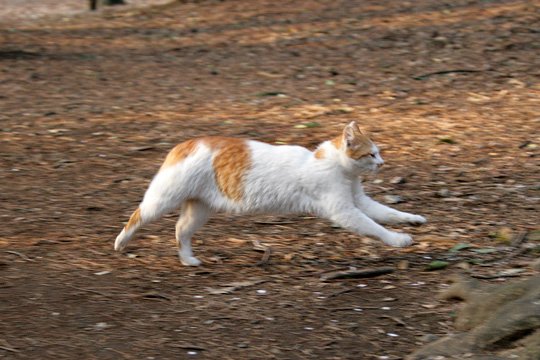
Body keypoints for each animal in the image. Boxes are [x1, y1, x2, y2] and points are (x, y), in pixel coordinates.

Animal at [114, 122, 426, 266]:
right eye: (372, 154)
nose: (383, 163)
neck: (336, 166)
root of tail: (185, 143)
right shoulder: (344, 211)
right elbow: (375, 227)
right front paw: (397, 240)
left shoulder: (360, 201)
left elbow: (389, 213)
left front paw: (413, 220)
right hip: (162, 200)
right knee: (136, 216)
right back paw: (121, 242)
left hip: (200, 209)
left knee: (180, 231)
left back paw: (188, 260)